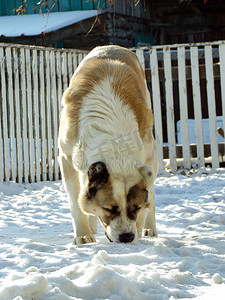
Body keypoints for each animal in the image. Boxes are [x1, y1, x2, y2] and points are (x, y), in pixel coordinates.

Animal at [58, 45, 158, 245]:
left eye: (135, 207)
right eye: (109, 209)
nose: (127, 237)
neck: (114, 142)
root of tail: (114, 46)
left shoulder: (147, 155)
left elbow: (148, 196)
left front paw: (139, 229)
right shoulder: (66, 158)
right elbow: (76, 202)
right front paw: (83, 235)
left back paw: (150, 228)